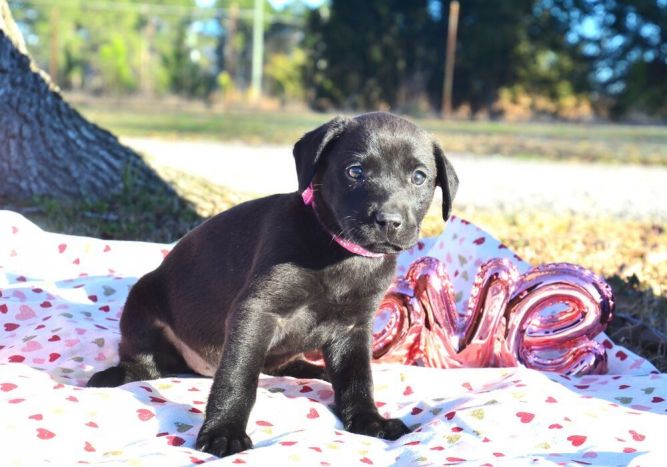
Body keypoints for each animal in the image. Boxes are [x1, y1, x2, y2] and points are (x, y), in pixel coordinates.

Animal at [87, 112, 460, 458]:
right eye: (355, 171)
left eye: (418, 177)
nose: (388, 221)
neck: (338, 251)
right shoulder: (257, 312)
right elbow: (239, 376)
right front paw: (224, 431)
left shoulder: (354, 328)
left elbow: (357, 378)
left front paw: (369, 420)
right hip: (142, 301)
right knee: (146, 363)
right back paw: (116, 374)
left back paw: (315, 369)